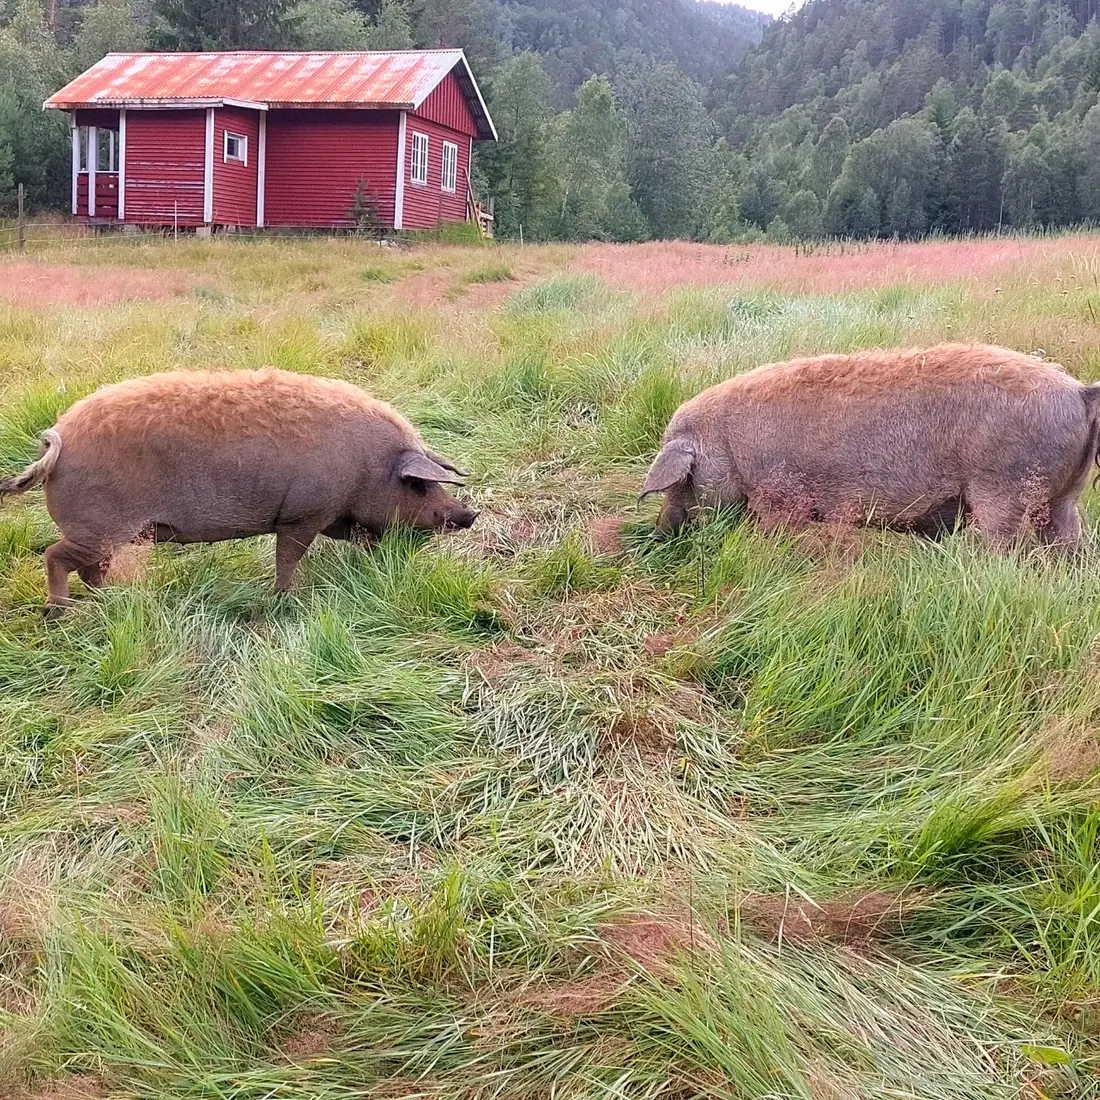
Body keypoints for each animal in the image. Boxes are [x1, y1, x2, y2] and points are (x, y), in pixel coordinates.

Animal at [0, 368, 479, 614]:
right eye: (418, 485)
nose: (468, 514)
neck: (368, 467)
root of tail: (58, 439)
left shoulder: (331, 516)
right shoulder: (303, 514)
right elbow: (288, 557)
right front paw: (286, 598)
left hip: (105, 533)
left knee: (89, 569)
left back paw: (110, 601)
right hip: (98, 527)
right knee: (56, 557)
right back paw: (60, 611)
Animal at [641, 343, 1100, 549]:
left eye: (681, 480)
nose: (661, 530)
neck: (729, 444)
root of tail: (1079, 392)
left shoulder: (779, 497)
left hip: (1006, 488)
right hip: (1066, 498)